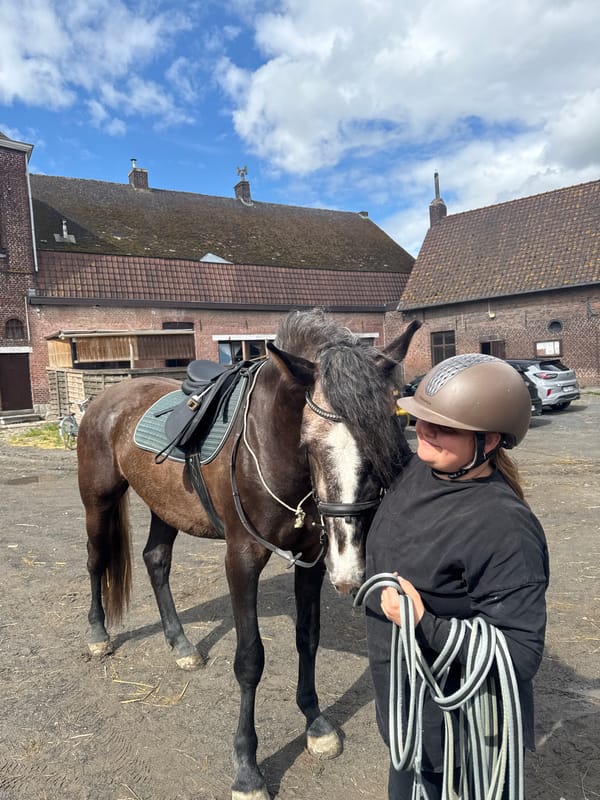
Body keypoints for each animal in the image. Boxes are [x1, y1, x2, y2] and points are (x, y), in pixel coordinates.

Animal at [77, 308, 420, 800]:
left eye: (388, 433)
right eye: (310, 443)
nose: (349, 570)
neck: (273, 445)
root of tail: (107, 397)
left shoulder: (312, 559)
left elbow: (307, 638)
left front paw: (315, 724)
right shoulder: (241, 559)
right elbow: (250, 659)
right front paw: (247, 768)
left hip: (164, 506)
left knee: (156, 560)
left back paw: (181, 644)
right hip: (98, 500)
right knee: (95, 561)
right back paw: (98, 634)